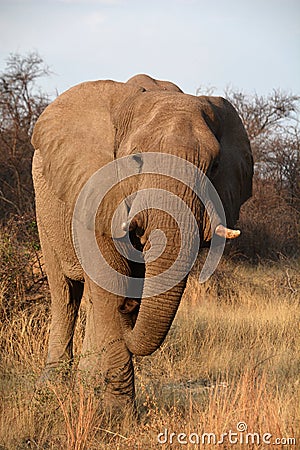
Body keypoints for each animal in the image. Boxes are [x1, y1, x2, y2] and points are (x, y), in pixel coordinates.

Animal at [31, 73, 253, 418]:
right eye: (135, 158)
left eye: (215, 165)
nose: (129, 308)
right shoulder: (95, 189)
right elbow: (109, 282)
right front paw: (118, 417)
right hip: (45, 210)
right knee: (66, 294)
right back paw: (52, 387)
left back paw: (84, 383)